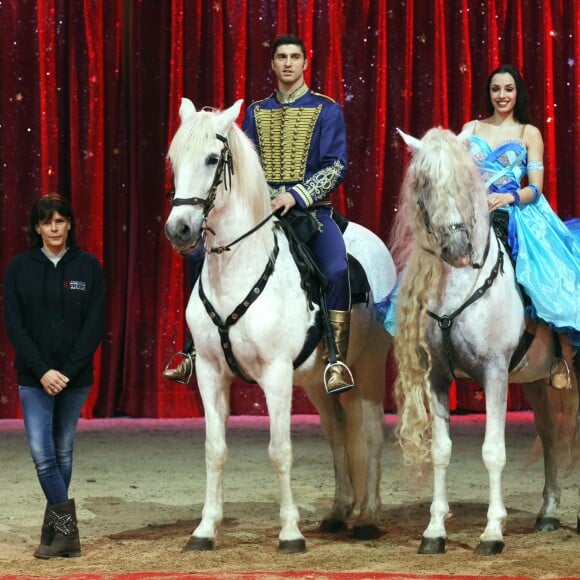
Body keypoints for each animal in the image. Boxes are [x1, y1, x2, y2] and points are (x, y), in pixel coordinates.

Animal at [165, 99, 396, 552]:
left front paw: (290, 532)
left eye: (213, 158)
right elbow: (214, 450)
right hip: (316, 382)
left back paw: (367, 516)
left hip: (369, 368)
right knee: (338, 433)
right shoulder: (211, 373)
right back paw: (340, 511)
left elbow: (280, 450)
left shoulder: (275, 373)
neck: (238, 269)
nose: (179, 229)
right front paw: (204, 529)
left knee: (371, 433)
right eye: (174, 160)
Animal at [392, 128, 576, 556]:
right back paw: (548, 513)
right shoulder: (437, 377)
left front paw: (492, 533)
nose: (458, 249)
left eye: (463, 181)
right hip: (537, 380)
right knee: (549, 433)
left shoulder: (494, 373)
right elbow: (441, 451)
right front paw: (434, 531)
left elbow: (493, 452)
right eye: (424, 183)